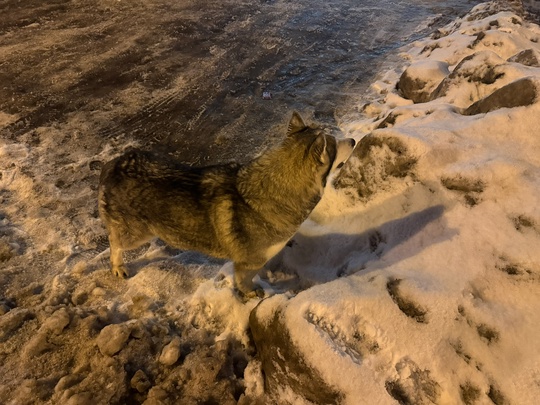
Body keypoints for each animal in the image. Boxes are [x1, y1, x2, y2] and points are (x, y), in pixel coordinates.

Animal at [99, 112, 356, 296]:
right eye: (334, 145)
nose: (354, 140)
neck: (274, 190)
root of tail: (113, 165)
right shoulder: (247, 264)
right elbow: (246, 282)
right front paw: (250, 294)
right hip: (138, 235)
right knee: (114, 242)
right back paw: (117, 266)